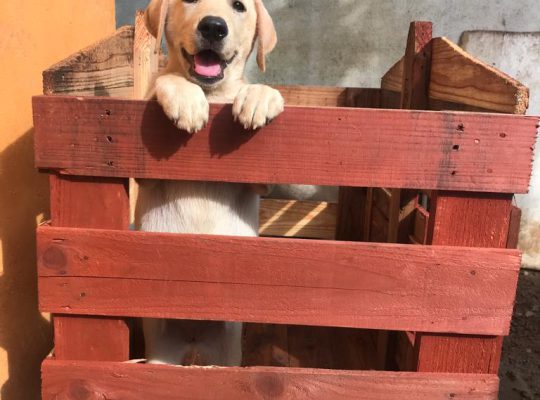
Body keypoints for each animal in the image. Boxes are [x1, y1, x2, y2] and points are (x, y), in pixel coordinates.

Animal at [137, 0, 284, 366]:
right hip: (160, 352)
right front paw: (186, 100)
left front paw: (258, 96)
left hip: (227, 351)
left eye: (239, 6)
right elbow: (166, 79)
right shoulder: (142, 173)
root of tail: (194, 342)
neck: (213, 94)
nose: (214, 27)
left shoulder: (260, 179)